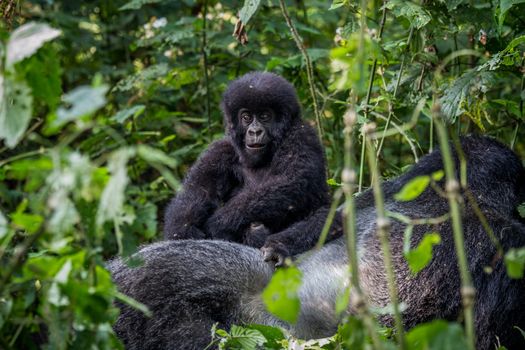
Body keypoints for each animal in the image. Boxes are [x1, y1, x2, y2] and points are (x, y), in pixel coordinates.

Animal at [164, 72, 328, 262]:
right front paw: (184, 231)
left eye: (265, 116)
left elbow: (294, 180)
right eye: (246, 117)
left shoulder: (302, 135)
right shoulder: (220, 150)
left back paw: (276, 246)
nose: (255, 131)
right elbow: (193, 196)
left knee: (327, 215)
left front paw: (218, 223)